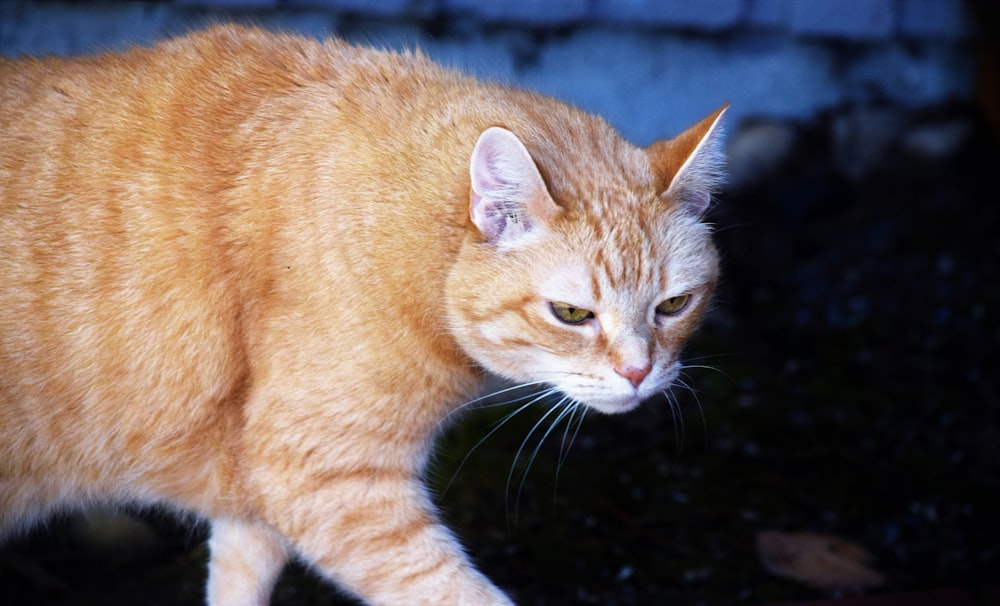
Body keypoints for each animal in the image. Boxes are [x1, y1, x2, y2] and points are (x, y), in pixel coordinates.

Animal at [1, 25, 728, 606]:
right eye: (572, 313)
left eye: (673, 305)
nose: (639, 373)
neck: (407, 242)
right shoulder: (321, 475)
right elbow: (456, 595)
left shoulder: (257, 495)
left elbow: (239, 578)